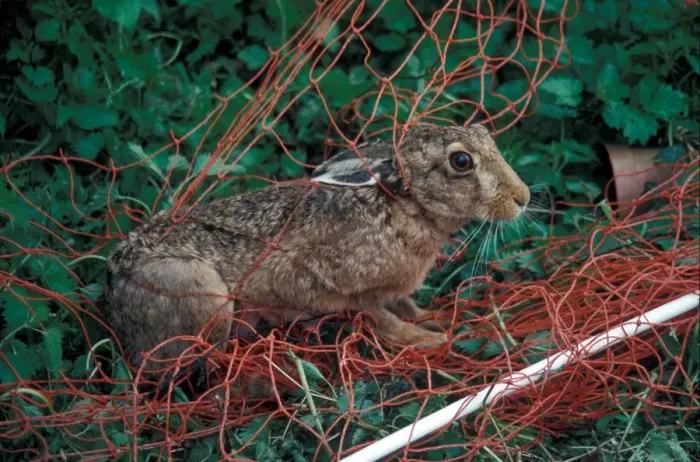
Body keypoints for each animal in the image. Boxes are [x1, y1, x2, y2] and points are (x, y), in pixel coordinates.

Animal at [104, 124, 530, 374]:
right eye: (461, 161)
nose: (523, 197)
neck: (404, 205)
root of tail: (115, 284)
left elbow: (406, 305)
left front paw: (434, 320)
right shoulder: (342, 288)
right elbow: (383, 319)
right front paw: (427, 340)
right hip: (200, 291)